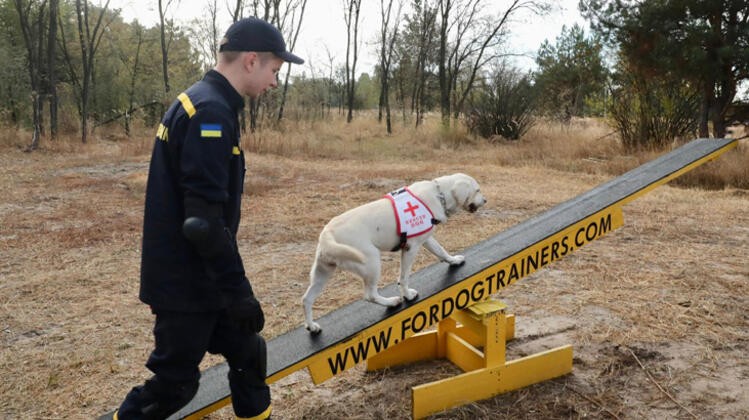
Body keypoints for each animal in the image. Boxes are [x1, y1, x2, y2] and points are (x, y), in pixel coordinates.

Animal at [300, 172, 488, 334]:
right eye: (477, 190)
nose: (485, 200)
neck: (439, 194)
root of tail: (327, 234)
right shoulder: (411, 248)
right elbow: (403, 278)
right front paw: (407, 295)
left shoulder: (426, 239)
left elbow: (441, 252)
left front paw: (454, 260)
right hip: (372, 262)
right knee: (369, 295)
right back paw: (391, 302)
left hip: (322, 272)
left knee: (306, 299)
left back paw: (312, 326)